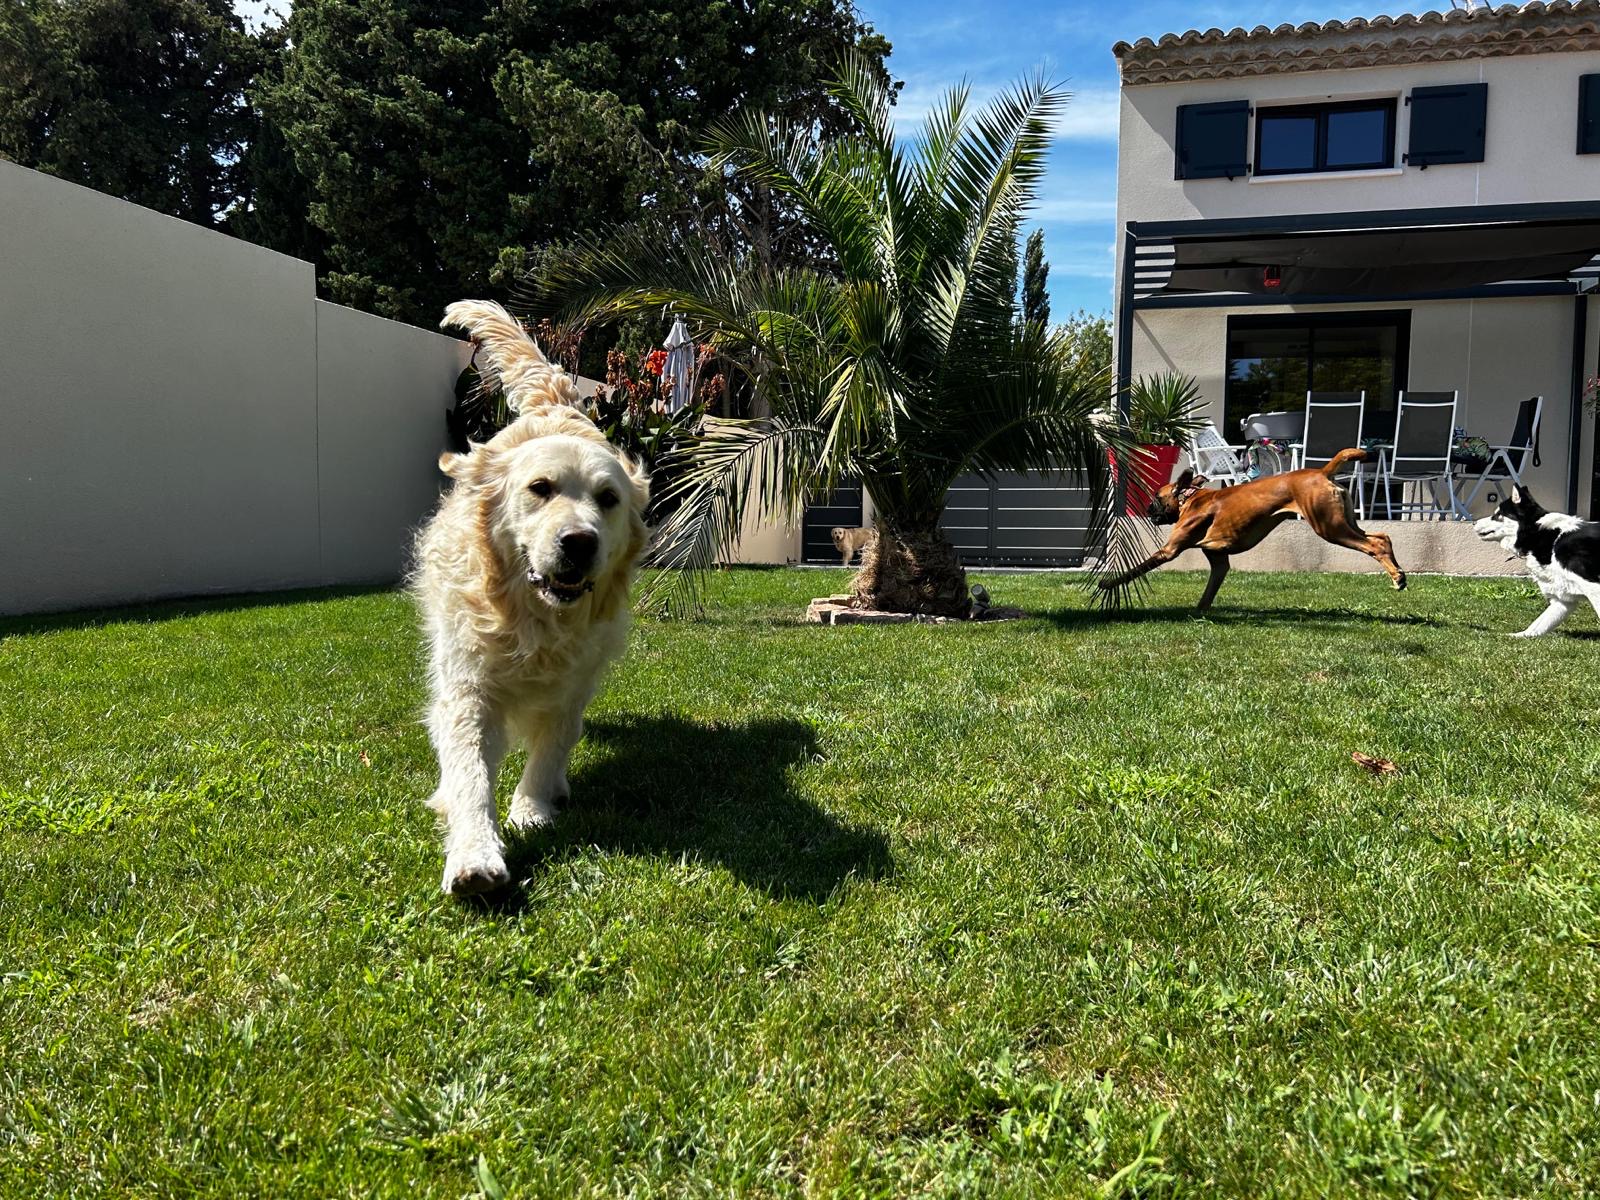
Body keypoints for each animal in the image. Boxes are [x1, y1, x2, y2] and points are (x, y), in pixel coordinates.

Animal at [416, 301, 649, 895]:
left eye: (608, 499)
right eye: (540, 488)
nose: (580, 542)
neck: (534, 619)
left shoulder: (575, 681)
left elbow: (554, 742)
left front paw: (532, 806)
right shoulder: (469, 688)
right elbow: (470, 771)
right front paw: (474, 852)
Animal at [1099, 448, 1405, 609]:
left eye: (1155, 497)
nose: (1148, 510)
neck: (1192, 499)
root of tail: (1322, 472)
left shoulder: (1169, 550)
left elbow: (1134, 570)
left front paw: (1107, 584)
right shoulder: (1219, 562)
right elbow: (1210, 589)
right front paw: (1199, 611)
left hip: (1329, 527)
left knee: (1374, 545)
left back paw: (1397, 577)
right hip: (1343, 523)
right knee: (1383, 536)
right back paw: (1398, 572)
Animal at [1473, 485, 1600, 637]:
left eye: (1498, 515)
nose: (1473, 522)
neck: (1540, 535)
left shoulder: (1593, 587)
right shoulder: (1563, 601)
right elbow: (1537, 626)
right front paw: (1515, 636)